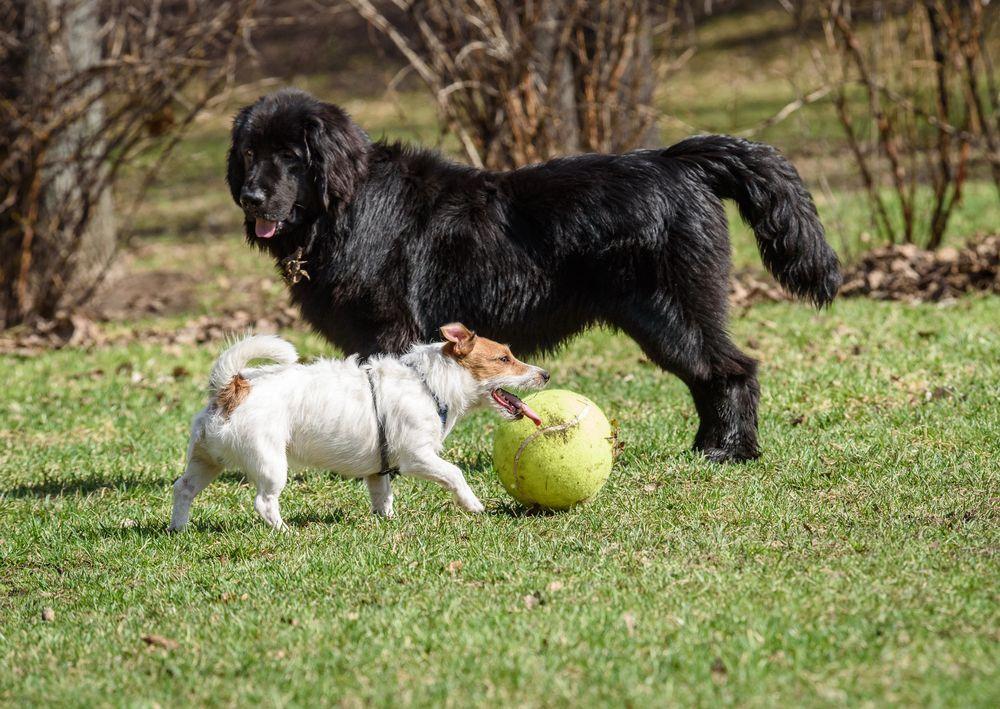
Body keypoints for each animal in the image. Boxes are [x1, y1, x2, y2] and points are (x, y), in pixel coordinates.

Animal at [170, 324, 548, 528]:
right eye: (504, 358)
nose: (546, 374)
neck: (429, 382)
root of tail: (232, 387)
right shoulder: (418, 457)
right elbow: (454, 472)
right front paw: (473, 505)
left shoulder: (378, 471)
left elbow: (383, 496)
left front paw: (388, 521)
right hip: (270, 463)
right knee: (264, 502)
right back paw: (283, 530)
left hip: (207, 460)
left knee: (183, 488)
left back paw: (178, 528)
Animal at [229, 88, 844, 462]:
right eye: (250, 153)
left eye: (292, 156)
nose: (252, 196)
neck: (346, 206)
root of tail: (676, 160)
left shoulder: (388, 329)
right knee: (709, 376)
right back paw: (707, 446)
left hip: (672, 311)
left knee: (732, 371)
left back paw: (729, 451)